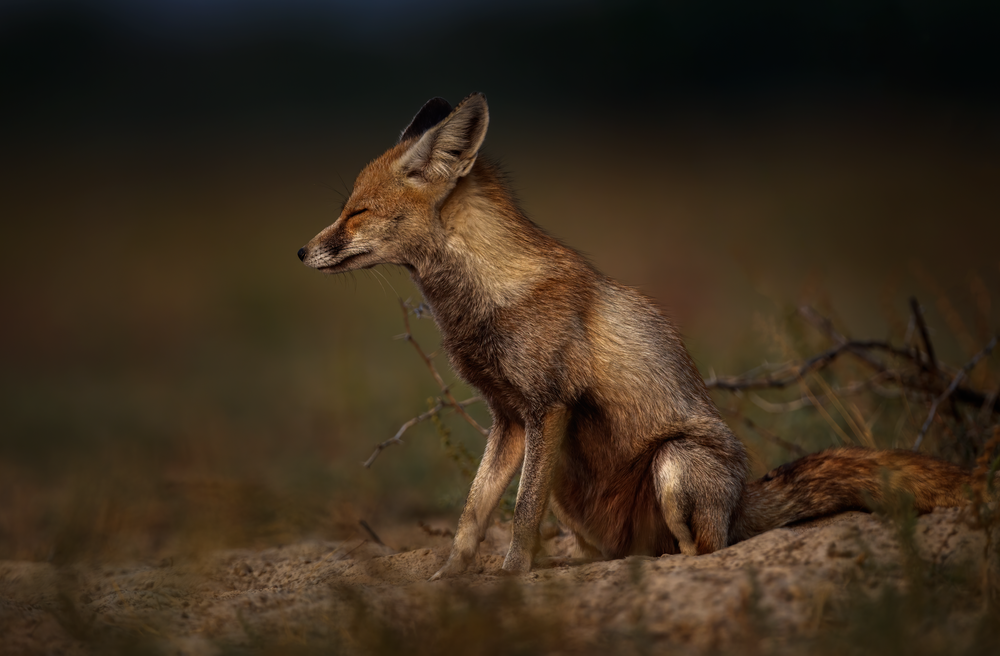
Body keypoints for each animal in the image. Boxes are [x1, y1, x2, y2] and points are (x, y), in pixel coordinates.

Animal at [298, 93, 971, 577]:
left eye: (356, 212)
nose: (302, 251)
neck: (487, 297)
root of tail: (744, 497)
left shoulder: (548, 407)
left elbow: (519, 512)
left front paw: (510, 578)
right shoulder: (508, 419)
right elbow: (472, 514)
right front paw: (449, 582)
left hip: (675, 463)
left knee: (707, 553)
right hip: (581, 492)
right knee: (616, 554)